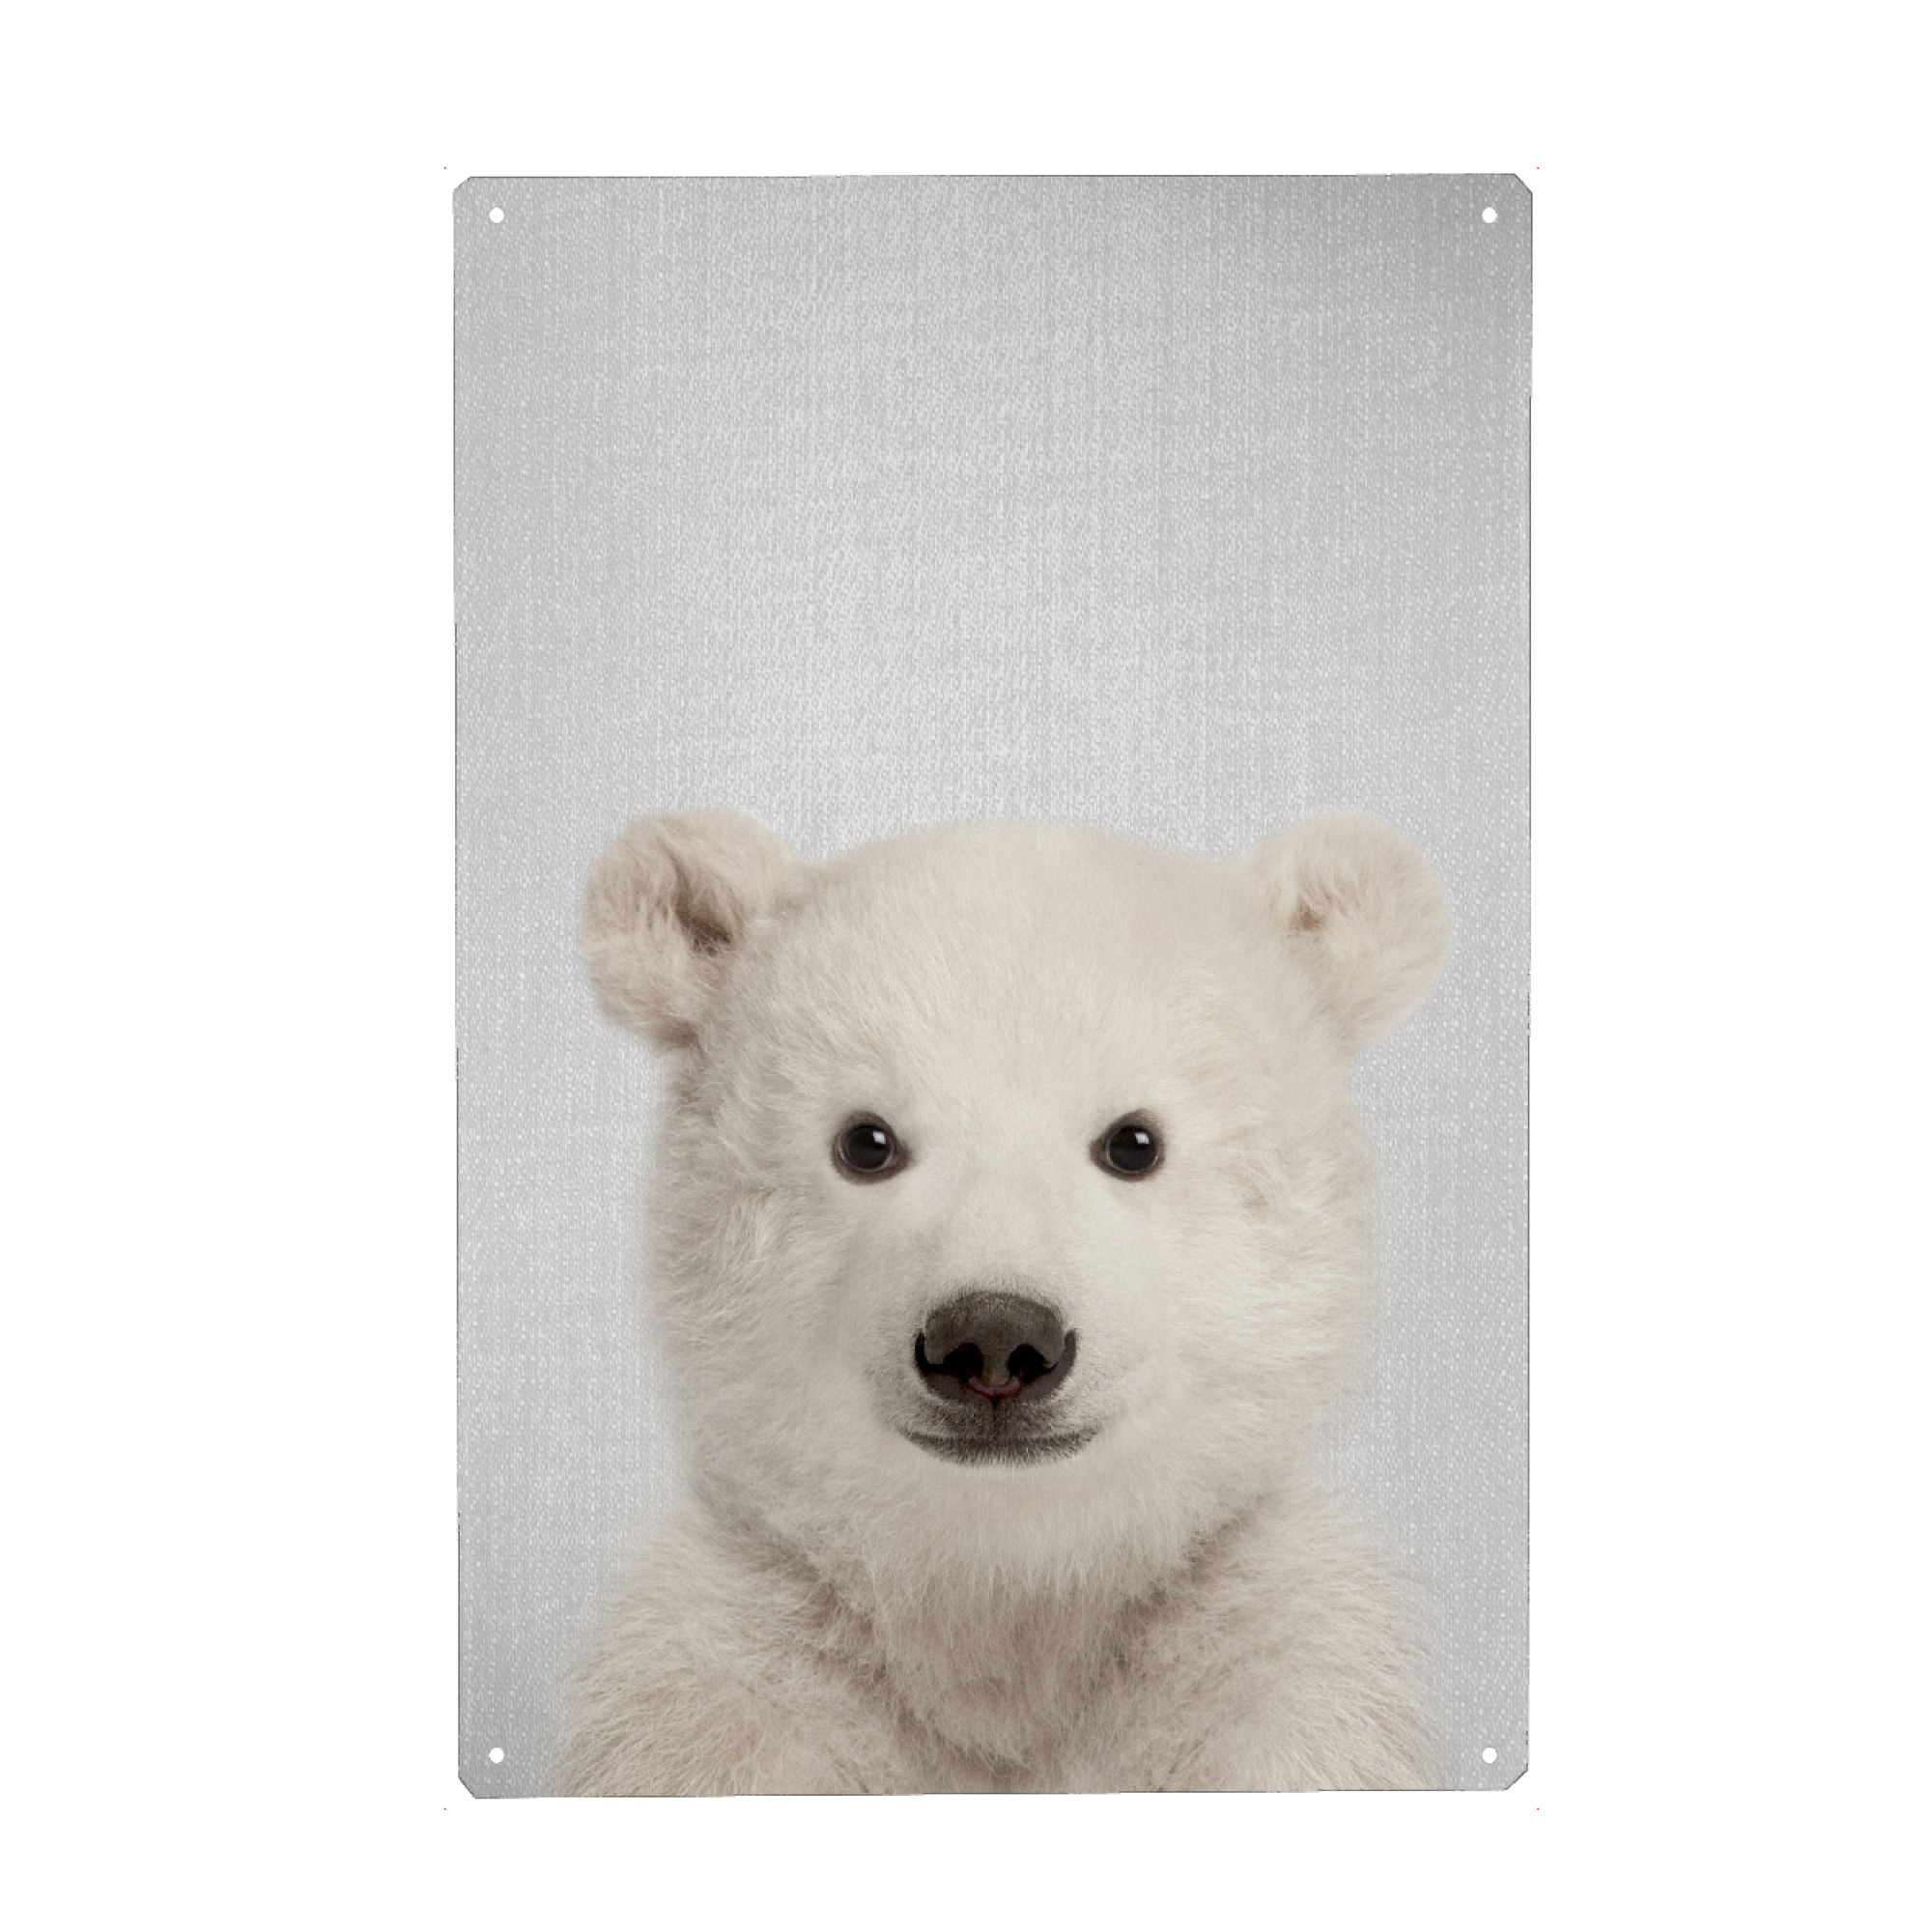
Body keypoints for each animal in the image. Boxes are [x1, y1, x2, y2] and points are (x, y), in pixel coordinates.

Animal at [562, 810, 1450, 1794]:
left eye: (1135, 1142)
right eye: (865, 1142)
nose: (993, 1341)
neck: (1006, 1607)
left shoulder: (1267, 1667)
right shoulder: (731, 1681)